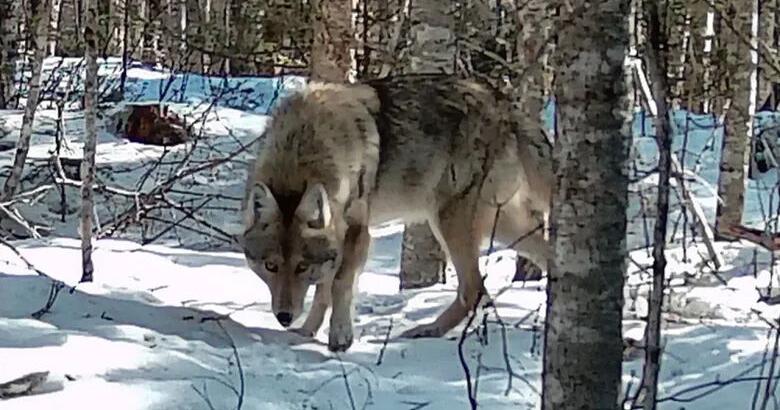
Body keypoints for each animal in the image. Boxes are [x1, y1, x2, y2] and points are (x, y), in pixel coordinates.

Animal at [240, 73, 553, 352]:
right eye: (270, 266)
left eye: (302, 267)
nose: (284, 317)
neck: (304, 144)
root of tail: (506, 105)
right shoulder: (336, 243)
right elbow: (323, 292)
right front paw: (306, 333)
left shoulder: (358, 232)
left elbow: (339, 284)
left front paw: (340, 338)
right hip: (504, 228)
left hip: (449, 222)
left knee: (474, 290)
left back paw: (425, 331)